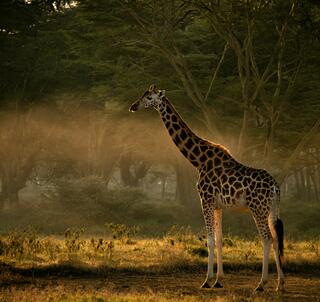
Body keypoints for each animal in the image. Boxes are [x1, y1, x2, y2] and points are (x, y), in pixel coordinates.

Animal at [129, 84, 284, 292]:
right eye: (143, 95)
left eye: (150, 97)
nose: (133, 106)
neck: (198, 160)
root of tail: (275, 187)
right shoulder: (218, 205)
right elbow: (219, 240)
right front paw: (218, 280)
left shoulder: (205, 200)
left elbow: (209, 240)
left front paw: (206, 281)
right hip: (271, 209)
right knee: (276, 238)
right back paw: (280, 284)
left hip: (257, 208)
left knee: (267, 238)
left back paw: (261, 284)